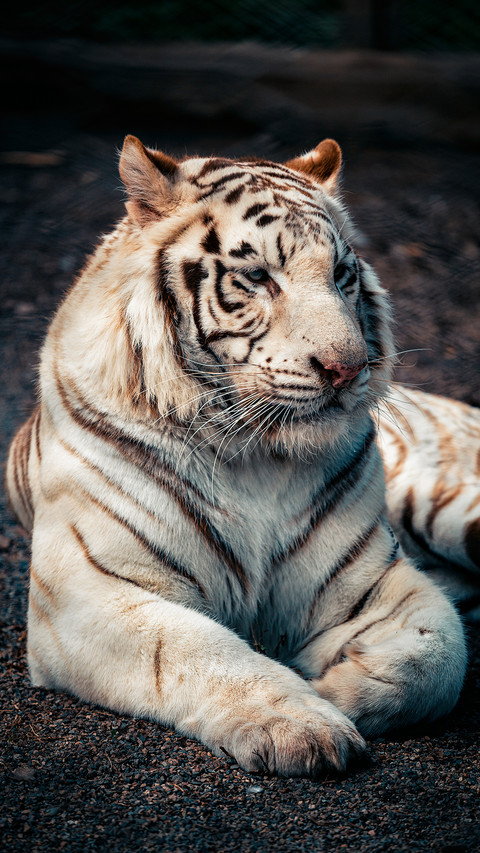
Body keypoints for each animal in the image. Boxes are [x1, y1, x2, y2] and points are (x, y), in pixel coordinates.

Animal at [6, 134, 475, 779]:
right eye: (257, 276)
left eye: (341, 275)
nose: (348, 369)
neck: (254, 457)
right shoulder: (87, 591)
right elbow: (195, 649)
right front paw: (304, 724)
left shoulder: (373, 580)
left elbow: (441, 652)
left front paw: (334, 689)